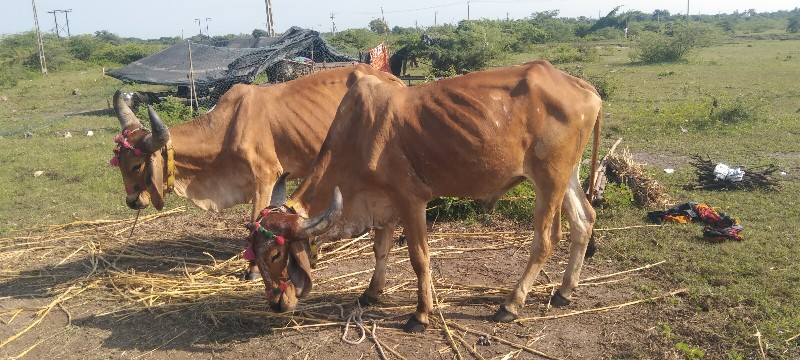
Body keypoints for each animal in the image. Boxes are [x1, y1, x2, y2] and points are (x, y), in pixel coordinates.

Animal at [109, 64, 404, 278]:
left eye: (136, 165)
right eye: (120, 163)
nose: (132, 201)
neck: (228, 126)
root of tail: (394, 80)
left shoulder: (266, 176)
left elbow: (255, 218)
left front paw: (251, 270)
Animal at [250, 60, 600, 334]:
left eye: (276, 255)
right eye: (254, 254)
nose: (276, 303)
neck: (359, 136)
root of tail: (584, 87)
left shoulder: (411, 200)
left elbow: (419, 259)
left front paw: (420, 315)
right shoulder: (383, 204)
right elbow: (381, 250)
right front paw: (371, 293)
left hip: (549, 179)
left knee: (545, 239)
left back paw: (510, 305)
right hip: (567, 175)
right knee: (584, 220)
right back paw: (565, 291)